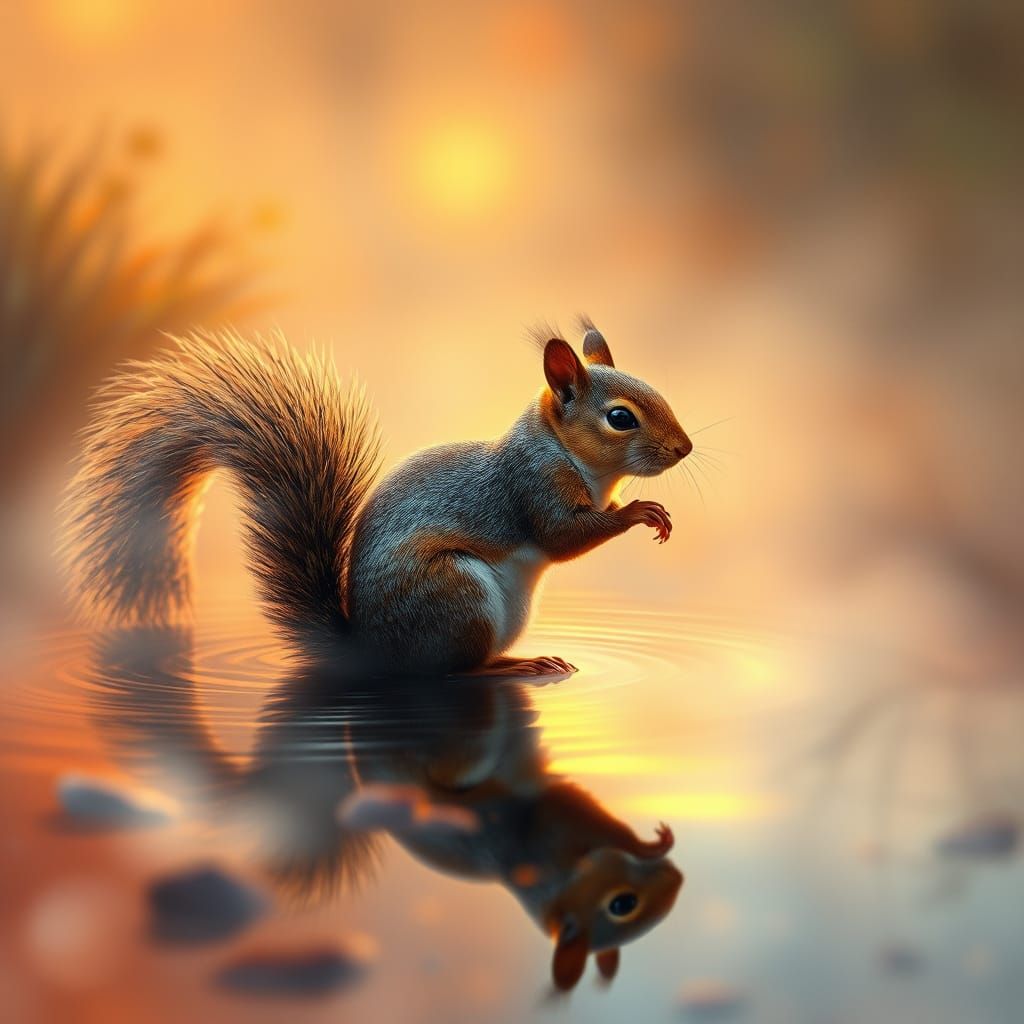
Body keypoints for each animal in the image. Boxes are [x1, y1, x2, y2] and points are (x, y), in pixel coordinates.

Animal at [63, 321, 692, 674]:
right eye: (620, 418)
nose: (684, 448)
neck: (567, 453)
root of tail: (368, 649)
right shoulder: (532, 484)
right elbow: (563, 536)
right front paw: (639, 513)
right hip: (455, 592)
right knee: (451, 672)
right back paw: (513, 667)